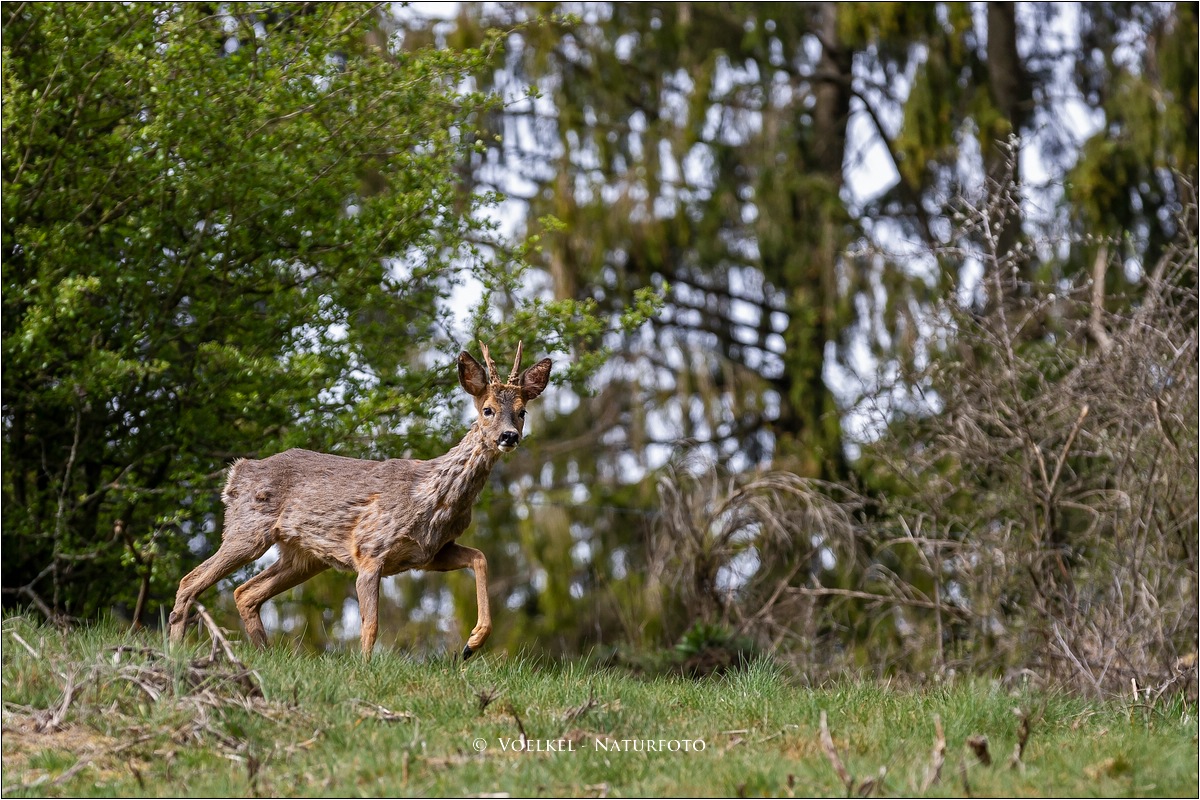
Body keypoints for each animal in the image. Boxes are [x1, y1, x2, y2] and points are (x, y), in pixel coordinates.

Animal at [166, 340, 549, 662]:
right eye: (487, 409)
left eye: (522, 411)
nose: (509, 436)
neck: (431, 496)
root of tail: (236, 473)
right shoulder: (370, 549)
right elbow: (371, 624)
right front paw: (364, 669)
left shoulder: (428, 554)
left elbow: (480, 558)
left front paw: (472, 643)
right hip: (247, 530)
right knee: (191, 581)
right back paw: (177, 650)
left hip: (303, 557)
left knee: (245, 593)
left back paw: (264, 654)